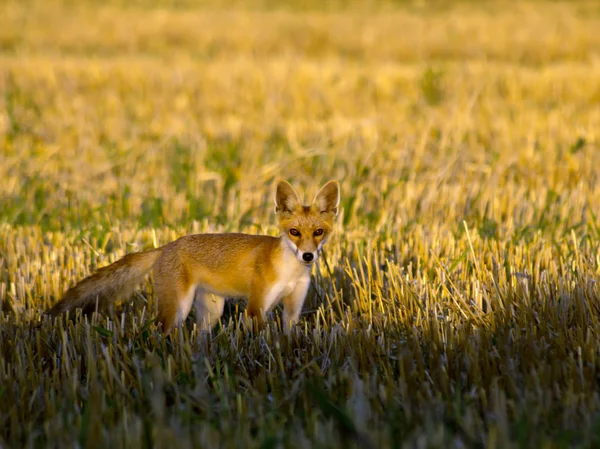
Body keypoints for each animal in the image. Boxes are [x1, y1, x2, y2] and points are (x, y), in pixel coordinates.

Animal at [48, 179, 338, 332]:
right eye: (294, 232)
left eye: (319, 232)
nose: (308, 256)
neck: (290, 273)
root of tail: (166, 246)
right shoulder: (256, 307)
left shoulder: (293, 308)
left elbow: (287, 336)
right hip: (178, 307)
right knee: (159, 331)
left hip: (210, 312)